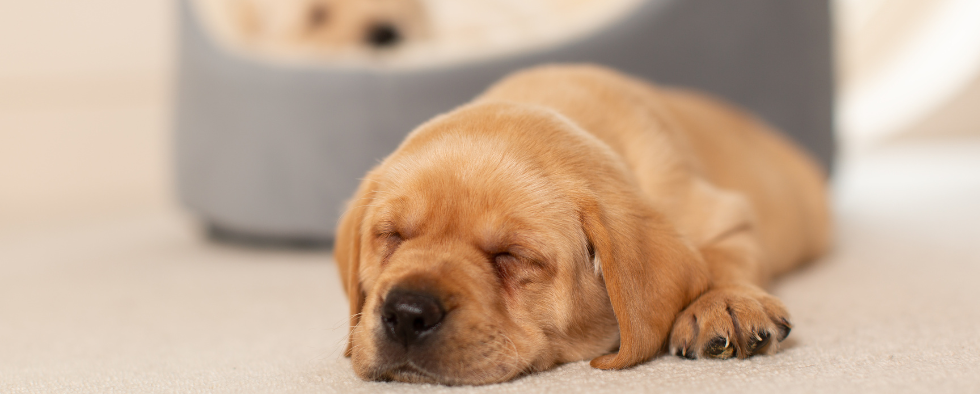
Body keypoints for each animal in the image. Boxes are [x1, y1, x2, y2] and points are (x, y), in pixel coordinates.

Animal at [334, 64, 832, 384]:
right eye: (392, 236)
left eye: (512, 256)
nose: (406, 313)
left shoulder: (726, 215)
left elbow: (725, 257)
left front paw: (727, 302)